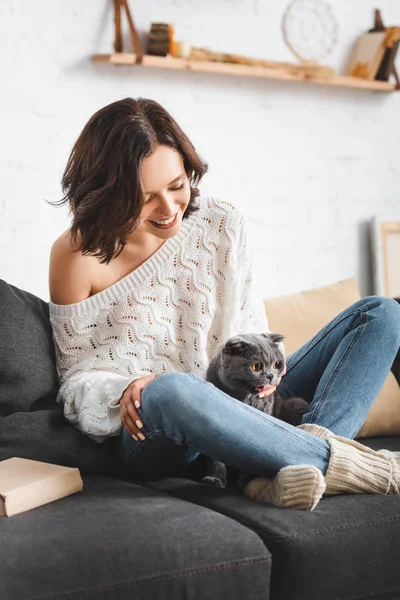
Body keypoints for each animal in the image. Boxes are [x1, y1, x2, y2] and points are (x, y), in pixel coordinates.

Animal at [203, 330, 310, 490]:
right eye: (256, 366)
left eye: (277, 364)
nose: (271, 376)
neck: (242, 397)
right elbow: (215, 458)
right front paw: (215, 479)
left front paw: (246, 482)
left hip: (296, 403)